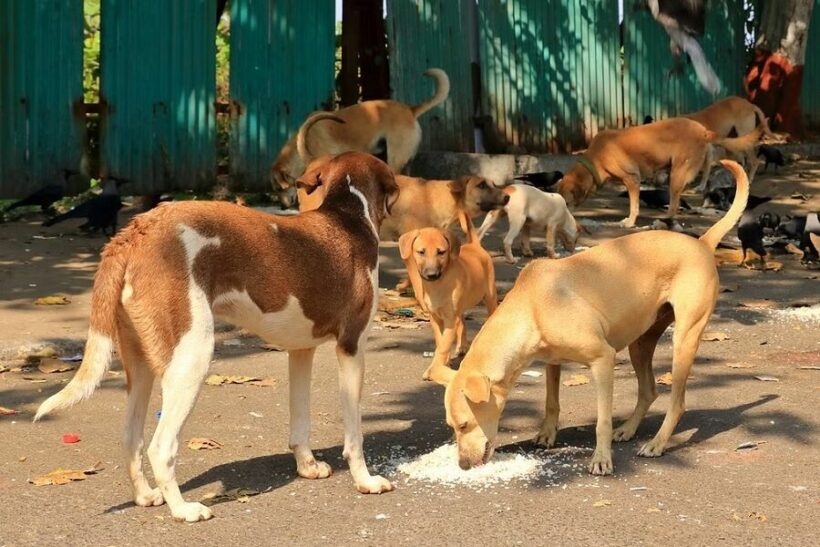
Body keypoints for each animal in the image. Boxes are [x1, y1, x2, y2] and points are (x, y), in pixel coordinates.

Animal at [398, 214, 496, 382]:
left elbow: (443, 346)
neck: (438, 286)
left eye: (441, 252)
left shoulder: (450, 319)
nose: (431, 274)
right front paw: (444, 362)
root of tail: (475, 246)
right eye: (421, 252)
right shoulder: (435, 318)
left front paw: (436, 368)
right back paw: (462, 346)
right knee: (462, 322)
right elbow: (440, 342)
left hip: (490, 296)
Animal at [436, 159, 748, 476]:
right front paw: (547, 434)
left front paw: (601, 458)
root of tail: (702, 243)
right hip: (641, 342)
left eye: (464, 424)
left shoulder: (603, 359)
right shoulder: (552, 362)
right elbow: (551, 402)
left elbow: (602, 420)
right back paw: (628, 429)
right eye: (452, 427)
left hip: (684, 339)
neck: (531, 305)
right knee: (649, 391)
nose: (462, 465)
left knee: (677, 402)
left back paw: (657, 443)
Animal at [556, 117, 764, 227]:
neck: (595, 158)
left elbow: (634, 205)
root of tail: (703, 130)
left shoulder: (632, 179)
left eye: (567, 203)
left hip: (677, 173)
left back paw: (666, 218)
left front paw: (630, 222)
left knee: (675, 202)